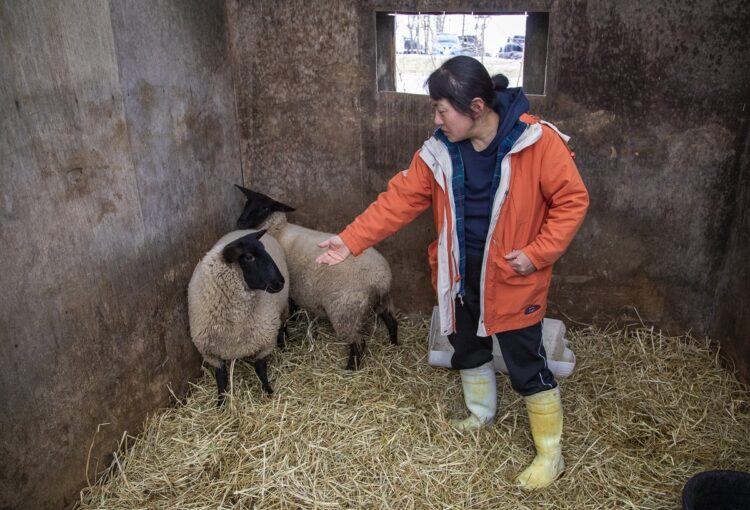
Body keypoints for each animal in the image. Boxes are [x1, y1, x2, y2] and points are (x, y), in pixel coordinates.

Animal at [188, 228, 290, 406]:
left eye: (264, 250)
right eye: (249, 257)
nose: (280, 282)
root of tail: (246, 230)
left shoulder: (265, 341)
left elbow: (260, 368)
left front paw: (267, 391)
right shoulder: (209, 352)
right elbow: (220, 376)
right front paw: (221, 401)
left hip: (283, 310)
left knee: (282, 327)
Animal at [235, 185, 400, 368]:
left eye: (265, 208)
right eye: (248, 202)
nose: (240, 223)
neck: (279, 231)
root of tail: (381, 278)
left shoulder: (285, 287)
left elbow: (291, 307)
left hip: (346, 310)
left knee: (358, 343)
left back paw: (350, 368)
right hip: (381, 300)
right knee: (392, 322)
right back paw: (394, 345)